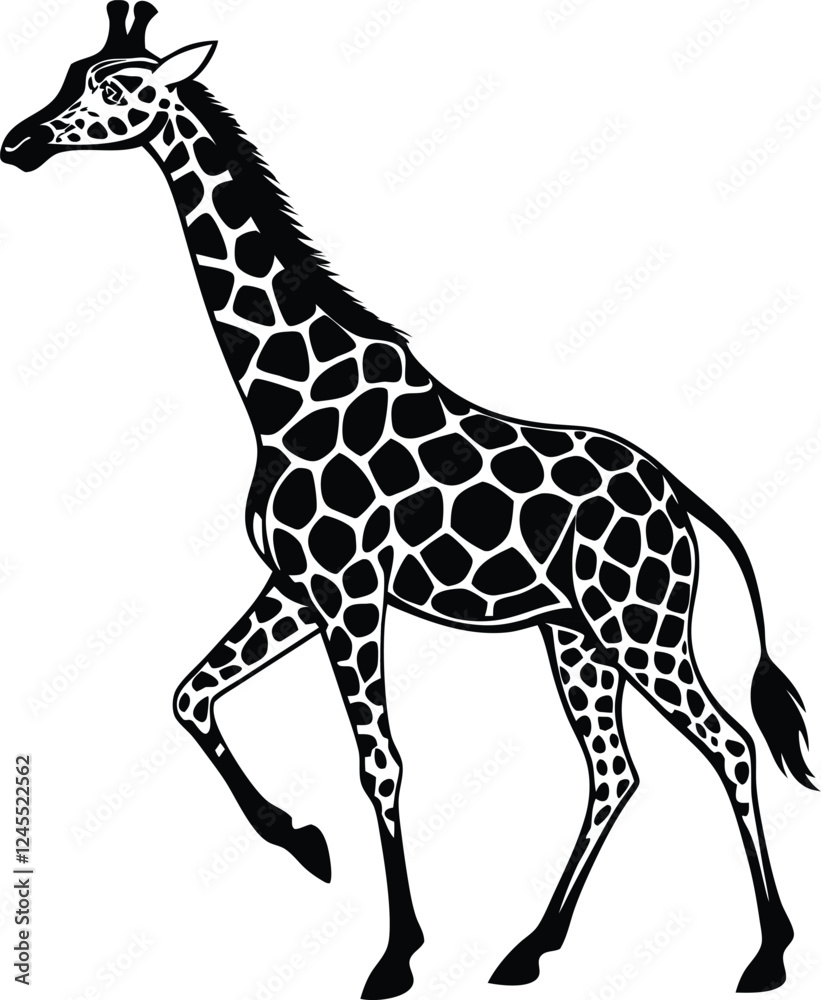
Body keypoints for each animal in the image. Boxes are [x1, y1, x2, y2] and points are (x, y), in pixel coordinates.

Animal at [2, 4, 814, 998]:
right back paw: (529, 947)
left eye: (117, 87)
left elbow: (379, 762)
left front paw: (394, 957)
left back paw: (766, 954)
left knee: (729, 745)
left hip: (640, 626)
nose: (19, 142)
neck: (286, 392)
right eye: (70, 71)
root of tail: (680, 496)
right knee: (613, 771)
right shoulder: (297, 586)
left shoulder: (352, 589)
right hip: (574, 635)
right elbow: (189, 696)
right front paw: (305, 845)